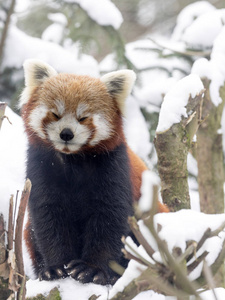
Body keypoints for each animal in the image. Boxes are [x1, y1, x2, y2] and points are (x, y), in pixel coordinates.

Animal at [20, 59, 167, 286]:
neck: (73, 160)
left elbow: (110, 218)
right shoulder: (41, 166)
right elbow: (48, 218)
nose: (66, 133)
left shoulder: (113, 167)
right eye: (56, 114)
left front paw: (92, 269)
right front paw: (56, 268)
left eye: (83, 118)